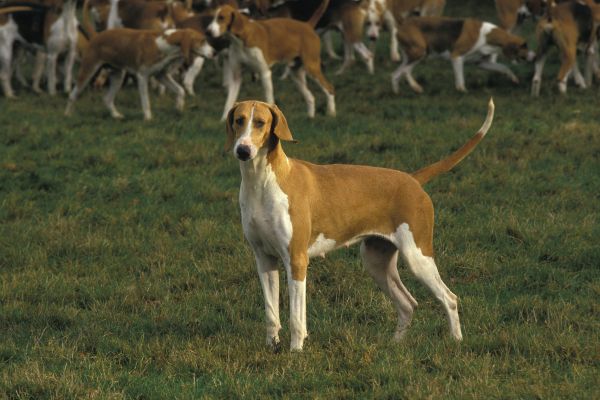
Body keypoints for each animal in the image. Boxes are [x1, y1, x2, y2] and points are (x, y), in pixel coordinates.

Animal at [64, 27, 214, 119]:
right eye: (202, 41)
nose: (215, 52)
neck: (164, 45)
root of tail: (96, 35)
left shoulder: (161, 75)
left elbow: (180, 91)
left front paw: (179, 108)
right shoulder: (142, 77)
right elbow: (146, 101)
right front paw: (148, 118)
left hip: (118, 75)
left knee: (107, 99)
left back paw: (116, 116)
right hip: (87, 71)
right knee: (72, 95)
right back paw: (68, 115)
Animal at [207, 1, 338, 120]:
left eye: (221, 18)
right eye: (212, 17)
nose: (208, 31)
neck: (241, 39)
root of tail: (307, 25)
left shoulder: (265, 73)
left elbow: (268, 100)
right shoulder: (236, 77)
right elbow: (229, 101)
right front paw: (224, 119)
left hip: (312, 68)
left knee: (329, 88)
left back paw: (331, 113)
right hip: (296, 74)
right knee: (310, 97)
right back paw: (310, 117)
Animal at [227, 98, 494, 352]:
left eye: (260, 123)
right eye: (239, 120)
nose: (243, 150)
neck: (261, 181)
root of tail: (412, 179)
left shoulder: (296, 260)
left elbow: (296, 317)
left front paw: (296, 351)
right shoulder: (265, 260)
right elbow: (271, 314)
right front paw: (272, 347)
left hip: (418, 258)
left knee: (449, 298)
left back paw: (456, 341)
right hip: (376, 262)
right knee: (408, 304)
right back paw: (395, 344)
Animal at [394, 16, 528, 93]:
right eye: (524, 48)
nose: (530, 57)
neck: (487, 36)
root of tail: (402, 24)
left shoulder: (482, 63)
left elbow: (504, 67)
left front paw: (513, 78)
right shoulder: (456, 57)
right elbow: (460, 79)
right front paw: (462, 91)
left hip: (412, 56)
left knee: (395, 74)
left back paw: (397, 92)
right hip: (420, 52)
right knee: (404, 72)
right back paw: (416, 87)